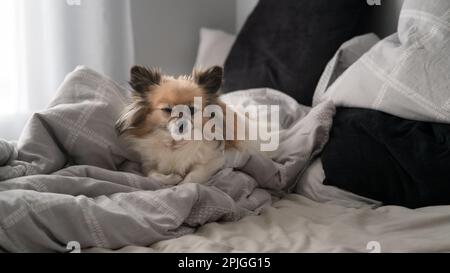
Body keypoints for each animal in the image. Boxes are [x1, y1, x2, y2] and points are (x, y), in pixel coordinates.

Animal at [115, 65, 278, 184]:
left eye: (192, 110)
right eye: (168, 110)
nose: (182, 125)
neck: (176, 144)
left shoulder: (215, 161)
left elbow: (192, 177)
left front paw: (182, 183)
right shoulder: (148, 164)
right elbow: (153, 175)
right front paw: (172, 178)